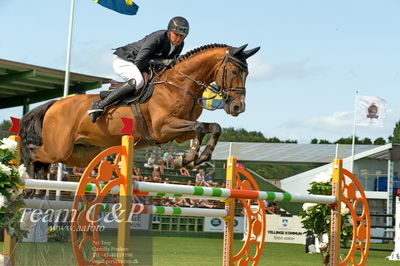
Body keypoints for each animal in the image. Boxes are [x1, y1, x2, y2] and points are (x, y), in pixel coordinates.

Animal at [19, 43, 260, 180]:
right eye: (235, 71)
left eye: (247, 73)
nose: (238, 107)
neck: (179, 84)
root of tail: (54, 104)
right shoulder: (163, 129)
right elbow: (201, 127)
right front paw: (189, 158)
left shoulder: (179, 133)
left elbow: (212, 128)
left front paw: (192, 159)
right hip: (58, 149)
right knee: (33, 153)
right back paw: (26, 180)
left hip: (78, 153)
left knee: (43, 160)